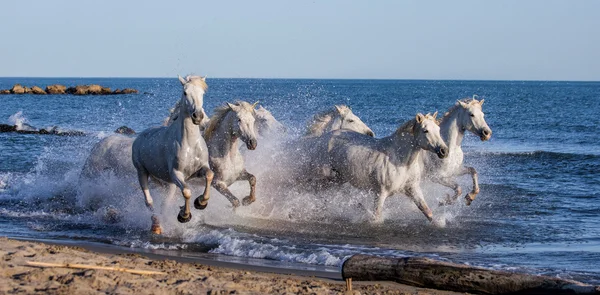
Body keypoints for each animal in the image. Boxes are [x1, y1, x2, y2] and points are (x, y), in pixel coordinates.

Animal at [131, 75, 213, 235]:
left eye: (202, 93)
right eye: (185, 92)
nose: (198, 116)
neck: (190, 143)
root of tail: (140, 136)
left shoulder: (200, 169)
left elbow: (209, 175)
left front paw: (201, 202)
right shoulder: (177, 174)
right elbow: (187, 192)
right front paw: (184, 216)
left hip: (167, 183)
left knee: (165, 203)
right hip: (142, 172)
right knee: (149, 201)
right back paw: (156, 225)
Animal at [314, 114, 450, 224]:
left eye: (438, 129)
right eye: (425, 130)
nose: (444, 151)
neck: (400, 160)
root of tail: (324, 137)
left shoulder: (413, 188)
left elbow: (426, 210)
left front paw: (438, 222)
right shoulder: (380, 193)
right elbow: (377, 217)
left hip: (338, 179)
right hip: (325, 178)